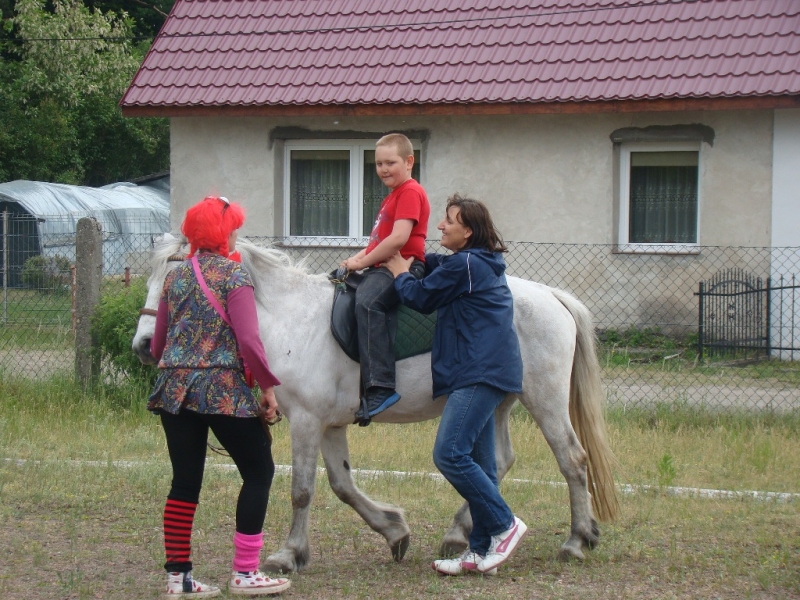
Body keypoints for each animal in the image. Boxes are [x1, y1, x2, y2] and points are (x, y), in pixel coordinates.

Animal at [133, 233, 620, 572]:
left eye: (175, 277)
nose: (142, 345)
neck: (291, 317)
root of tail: (552, 296)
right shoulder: (330, 425)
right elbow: (342, 486)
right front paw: (394, 531)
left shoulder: (306, 421)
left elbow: (302, 490)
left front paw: (287, 555)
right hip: (495, 402)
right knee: (499, 461)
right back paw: (460, 534)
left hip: (544, 400)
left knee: (572, 460)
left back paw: (577, 540)